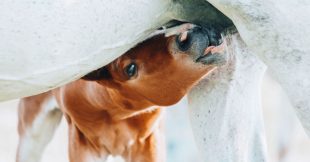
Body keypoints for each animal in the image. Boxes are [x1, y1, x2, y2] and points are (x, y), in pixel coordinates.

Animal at [16, 24, 225, 161]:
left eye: (159, 28)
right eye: (130, 69)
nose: (186, 38)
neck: (115, 113)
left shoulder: (148, 144)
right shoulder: (83, 146)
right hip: (32, 133)